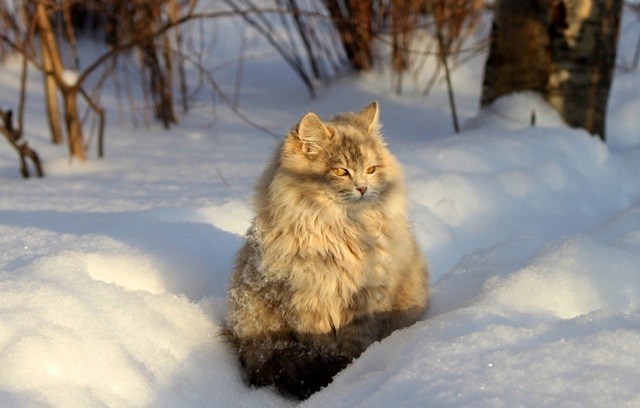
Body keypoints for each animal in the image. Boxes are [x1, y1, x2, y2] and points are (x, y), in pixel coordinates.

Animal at [225, 102, 430, 398]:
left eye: (371, 169)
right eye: (340, 171)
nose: (363, 188)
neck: (343, 231)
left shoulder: (366, 301)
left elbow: (356, 346)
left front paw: (349, 374)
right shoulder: (308, 302)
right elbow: (320, 348)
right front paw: (333, 377)